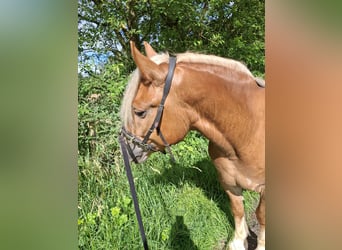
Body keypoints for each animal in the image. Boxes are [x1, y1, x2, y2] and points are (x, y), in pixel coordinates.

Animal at [120, 42, 264, 249]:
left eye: (139, 112)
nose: (128, 150)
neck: (248, 128)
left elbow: (261, 216)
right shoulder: (229, 183)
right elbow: (238, 210)